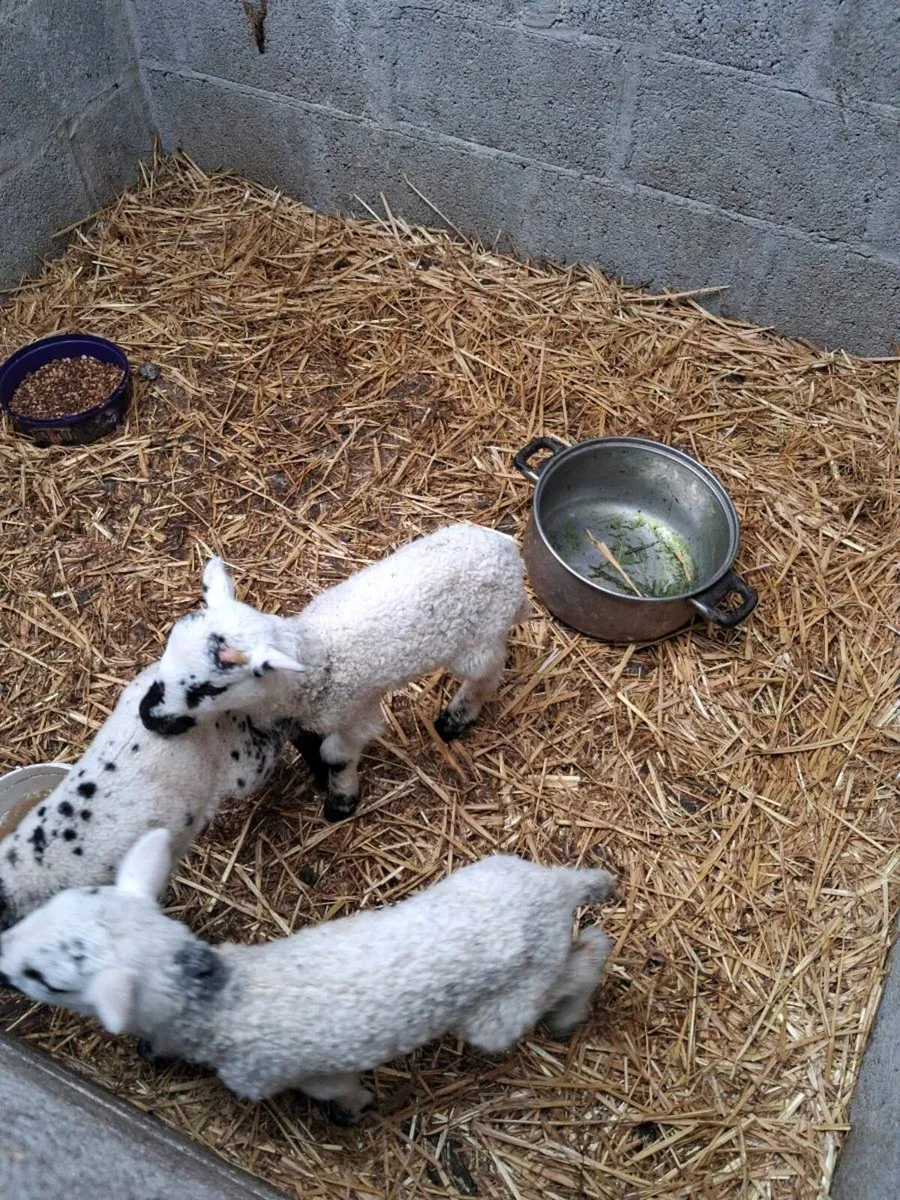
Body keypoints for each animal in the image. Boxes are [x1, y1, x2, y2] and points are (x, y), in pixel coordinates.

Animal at [0, 828, 615, 1122]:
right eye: (53, 905)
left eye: (47, 979)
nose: (2, 957)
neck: (222, 1001)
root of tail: (556, 888)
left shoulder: (305, 1074)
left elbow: (342, 1091)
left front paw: (355, 1110)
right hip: (493, 876)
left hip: (501, 1012)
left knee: (587, 957)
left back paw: (567, 1015)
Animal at [138, 523, 530, 821]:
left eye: (206, 689)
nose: (146, 715)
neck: (316, 658)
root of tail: (508, 551)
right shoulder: (302, 716)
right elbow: (307, 745)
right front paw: (320, 779)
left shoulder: (357, 714)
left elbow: (336, 754)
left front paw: (341, 801)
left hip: (477, 640)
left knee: (488, 671)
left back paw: (455, 720)